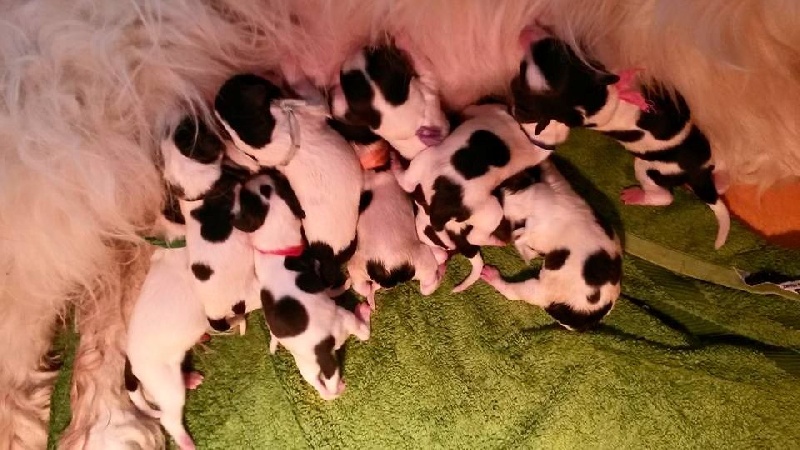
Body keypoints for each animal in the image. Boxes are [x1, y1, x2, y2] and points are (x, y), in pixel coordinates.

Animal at [162, 117, 260, 334]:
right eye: (188, 131)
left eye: (179, 131)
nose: (186, 116)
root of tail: (214, 315)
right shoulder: (246, 170)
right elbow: (240, 156)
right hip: (253, 292)